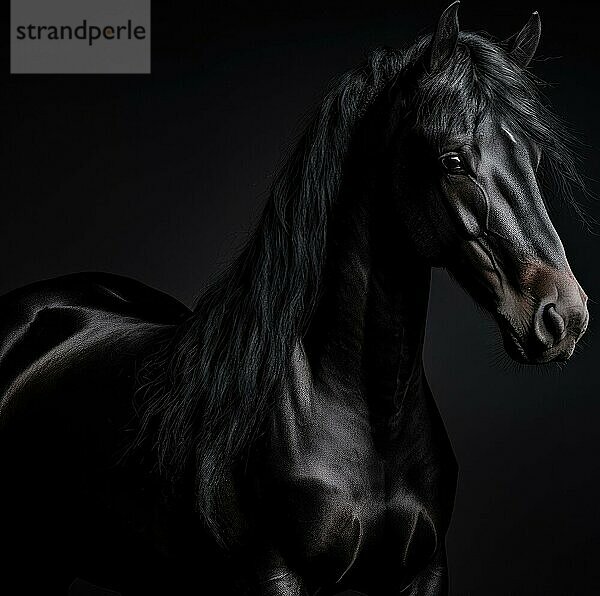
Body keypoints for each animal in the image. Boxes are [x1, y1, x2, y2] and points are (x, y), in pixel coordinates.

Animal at [0, 5, 592, 596]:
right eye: (452, 160)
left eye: (533, 154)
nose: (563, 315)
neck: (363, 417)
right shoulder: (278, 577)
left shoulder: (424, 574)